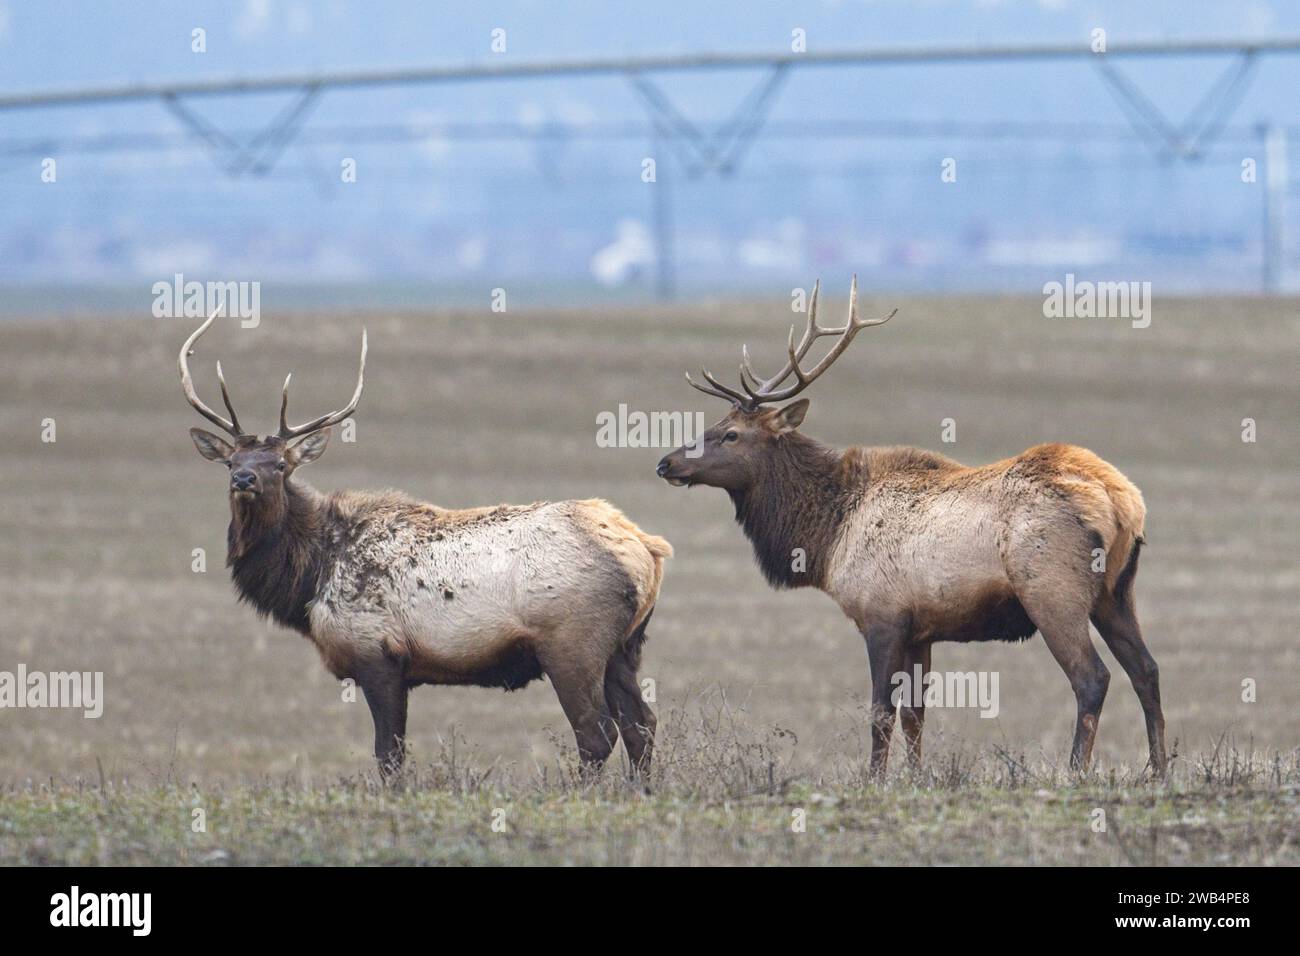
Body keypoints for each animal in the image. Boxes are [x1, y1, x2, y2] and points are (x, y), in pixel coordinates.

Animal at [180, 314, 670, 780]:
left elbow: (388, 756)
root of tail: (647, 550)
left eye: (281, 464)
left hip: (572, 645)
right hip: (625, 648)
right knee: (641, 724)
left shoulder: (378, 656)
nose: (244, 480)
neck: (311, 577)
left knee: (597, 732)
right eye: (231, 461)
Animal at [660, 277, 1170, 780]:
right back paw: (1160, 770)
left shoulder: (881, 617)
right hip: (1116, 593)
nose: (666, 462)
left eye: (730, 434)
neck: (828, 534)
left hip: (1052, 592)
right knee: (1147, 670)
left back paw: (1076, 772)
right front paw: (917, 778)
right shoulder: (922, 629)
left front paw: (874, 780)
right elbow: (914, 715)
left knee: (1093, 677)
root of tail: (1122, 500)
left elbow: (881, 712)